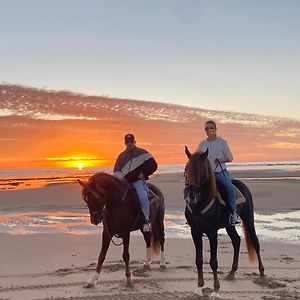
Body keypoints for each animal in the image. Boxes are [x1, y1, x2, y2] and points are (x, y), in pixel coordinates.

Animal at [184, 149, 264, 298]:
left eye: (202, 171)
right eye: (186, 168)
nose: (191, 196)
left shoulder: (212, 232)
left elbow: (213, 262)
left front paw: (216, 290)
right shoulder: (195, 231)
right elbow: (199, 260)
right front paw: (199, 288)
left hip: (248, 218)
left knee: (255, 242)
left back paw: (262, 274)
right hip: (228, 225)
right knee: (236, 240)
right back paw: (231, 273)